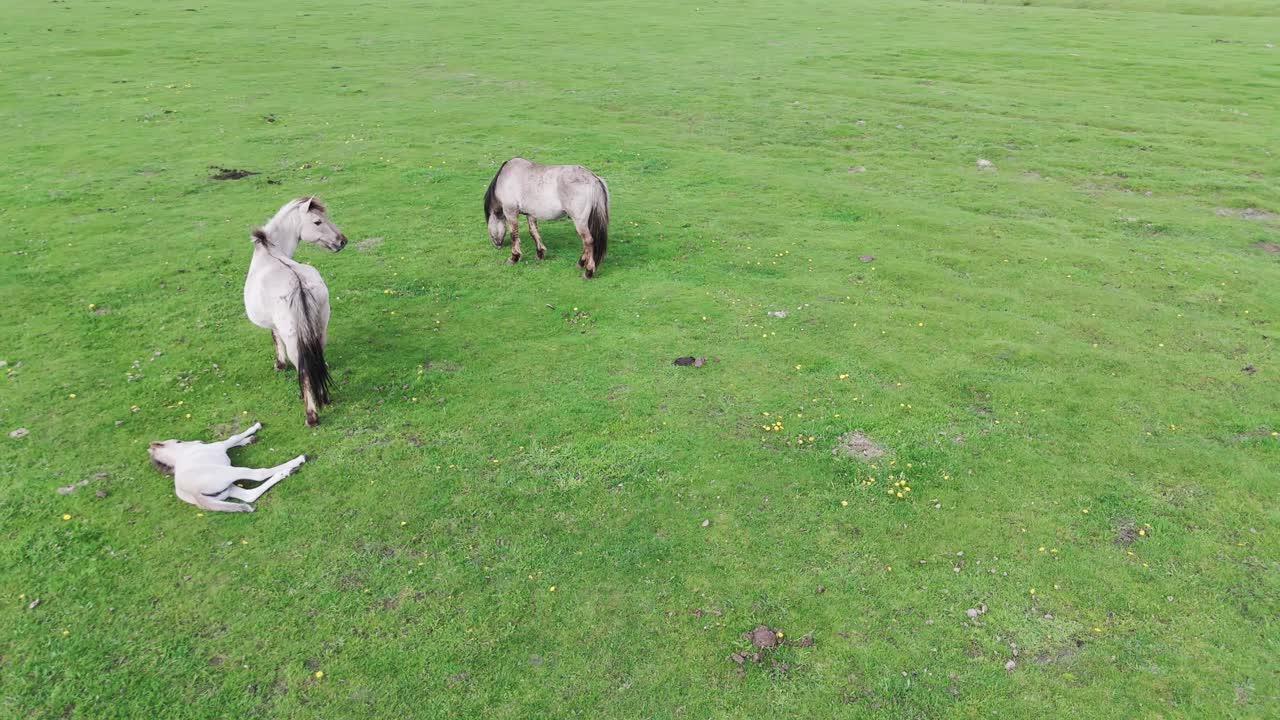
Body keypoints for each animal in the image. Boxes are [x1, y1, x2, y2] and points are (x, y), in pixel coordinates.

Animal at [243, 197, 347, 426]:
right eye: (318, 221)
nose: (342, 241)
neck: (269, 252)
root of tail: (299, 284)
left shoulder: (275, 327)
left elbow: (275, 340)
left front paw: (280, 364)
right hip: (320, 329)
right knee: (316, 360)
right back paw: (322, 397)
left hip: (294, 339)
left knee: (305, 369)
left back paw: (311, 415)